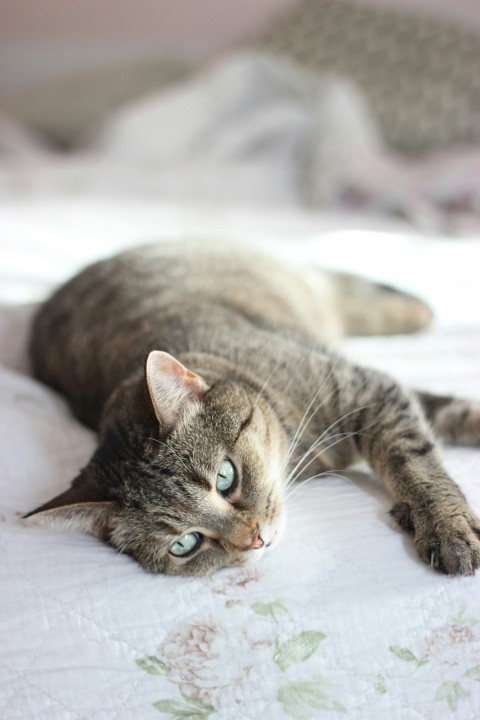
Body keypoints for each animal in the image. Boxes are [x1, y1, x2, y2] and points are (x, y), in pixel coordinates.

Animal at [26, 245, 480, 576]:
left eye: (226, 477)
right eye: (185, 543)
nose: (255, 539)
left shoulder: (367, 390)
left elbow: (415, 463)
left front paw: (447, 527)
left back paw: (416, 309)